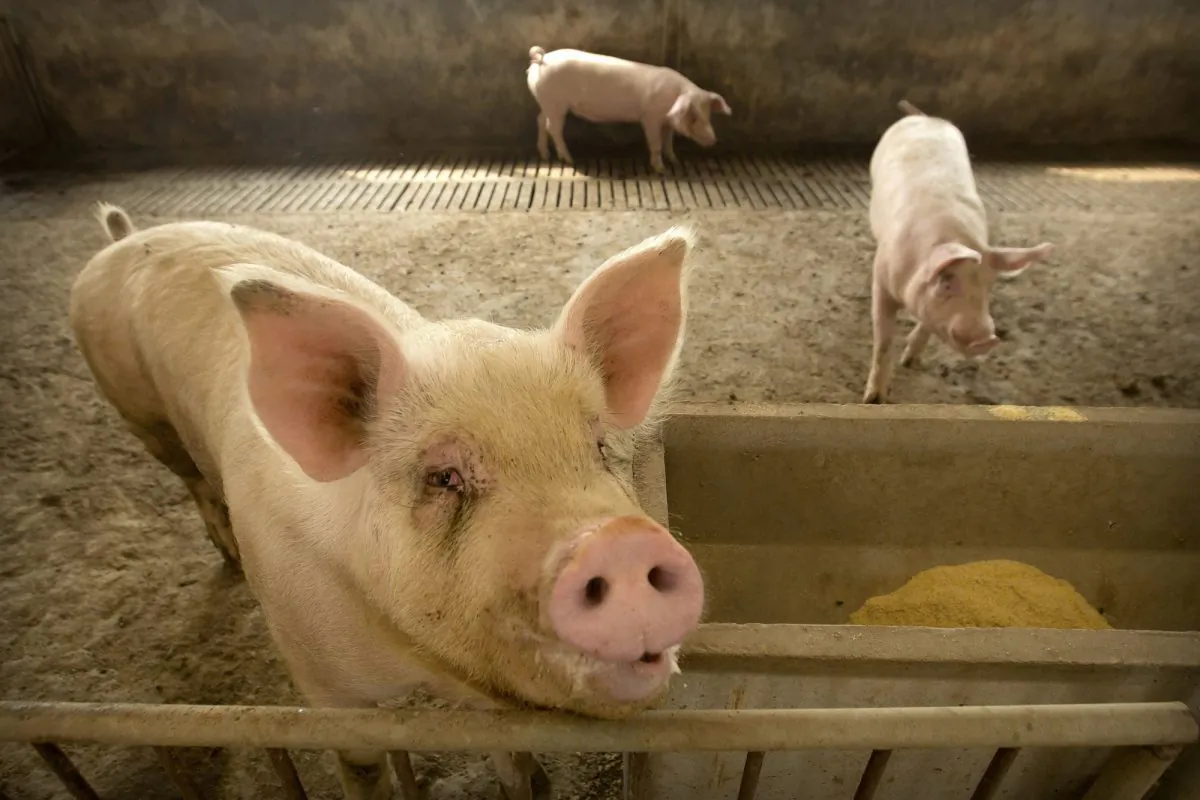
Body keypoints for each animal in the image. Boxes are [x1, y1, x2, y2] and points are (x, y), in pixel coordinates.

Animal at [70, 203, 706, 800]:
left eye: (598, 448)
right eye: (443, 477)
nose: (619, 542)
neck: (417, 664)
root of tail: (125, 237)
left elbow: (509, 755)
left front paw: (535, 782)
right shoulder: (320, 681)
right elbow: (361, 765)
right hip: (140, 413)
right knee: (191, 479)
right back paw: (225, 552)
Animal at [526, 45, 732, 174]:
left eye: (708, 113)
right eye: (694, 116)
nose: (713, 140)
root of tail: (541, 59)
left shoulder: (666, 122)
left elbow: (668, 140)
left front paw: (674, 160)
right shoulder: (650, 118)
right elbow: (656, 143)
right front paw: (661, 169)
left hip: (546, 102)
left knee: (540, 120)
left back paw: (545, 155)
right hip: (557, 104)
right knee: (553, 128)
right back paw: (569, 160)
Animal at [863, 100, 1055, 403]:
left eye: (989, 285)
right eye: (947, 282)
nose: (987, 339)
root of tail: (925, 118)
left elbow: (926, 324)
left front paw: (911, 362)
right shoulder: (881, 281)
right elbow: (883, 340)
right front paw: (873, 399)